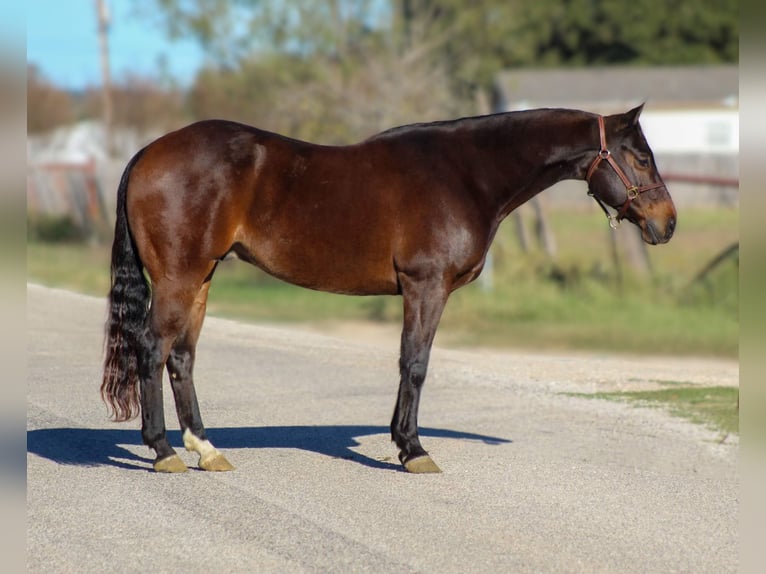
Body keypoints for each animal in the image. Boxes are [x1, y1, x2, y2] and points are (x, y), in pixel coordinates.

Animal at [101, 104, 676, 474]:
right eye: (640, 156)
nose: (668, 223)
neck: (465, 172)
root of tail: (148, 153)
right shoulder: (426, 286)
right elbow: (415, 364)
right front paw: (413, 450)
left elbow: (409, 364)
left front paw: (405, 442)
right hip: (178, 279)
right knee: (152, 349)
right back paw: (163, 452)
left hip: (199, 278)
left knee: (181, 358)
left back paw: (206, 449)